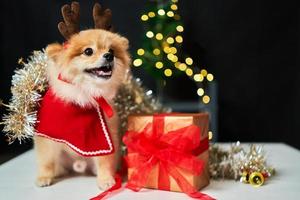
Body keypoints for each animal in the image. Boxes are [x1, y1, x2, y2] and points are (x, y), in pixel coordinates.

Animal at [34, 1, 130, 191]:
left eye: (112, 50)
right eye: (88, 51)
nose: (109, 56)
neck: (85, 94)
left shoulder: (103, 137)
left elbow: (104, 160)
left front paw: (105, 179)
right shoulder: (47, 137)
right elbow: (46, 160)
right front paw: (44, 176)